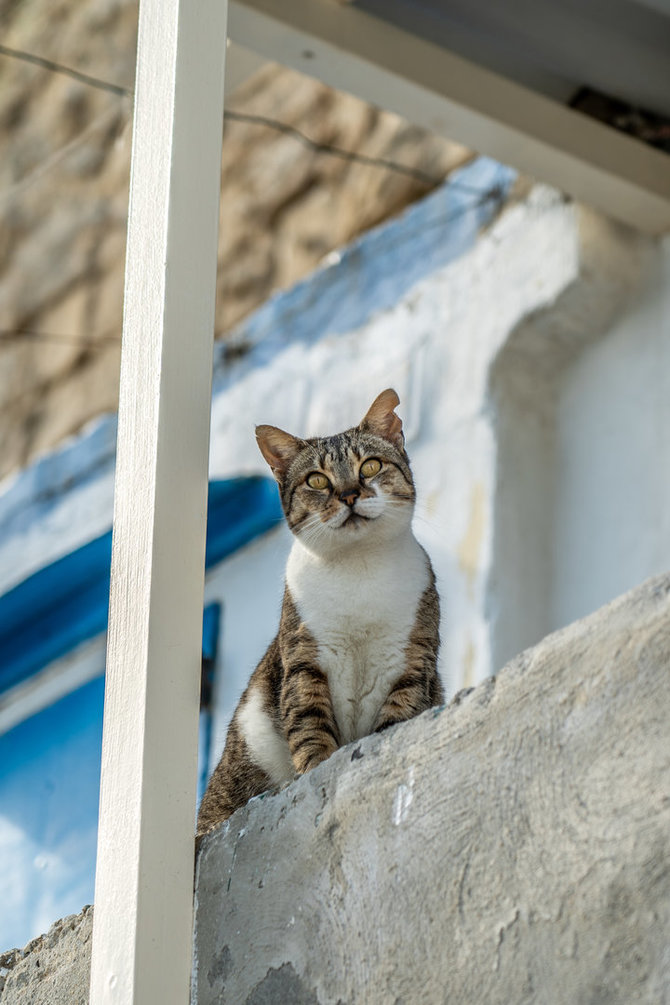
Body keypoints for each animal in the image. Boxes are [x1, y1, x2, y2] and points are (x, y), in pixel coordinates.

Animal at [196, 387, 441, 836]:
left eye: (371, 465)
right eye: (316, 480)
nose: (349, 494)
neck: (358, 569)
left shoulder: (415, 657)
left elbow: (400, 711)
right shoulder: (303, 660)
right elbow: (309, 722)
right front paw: (319, 767)